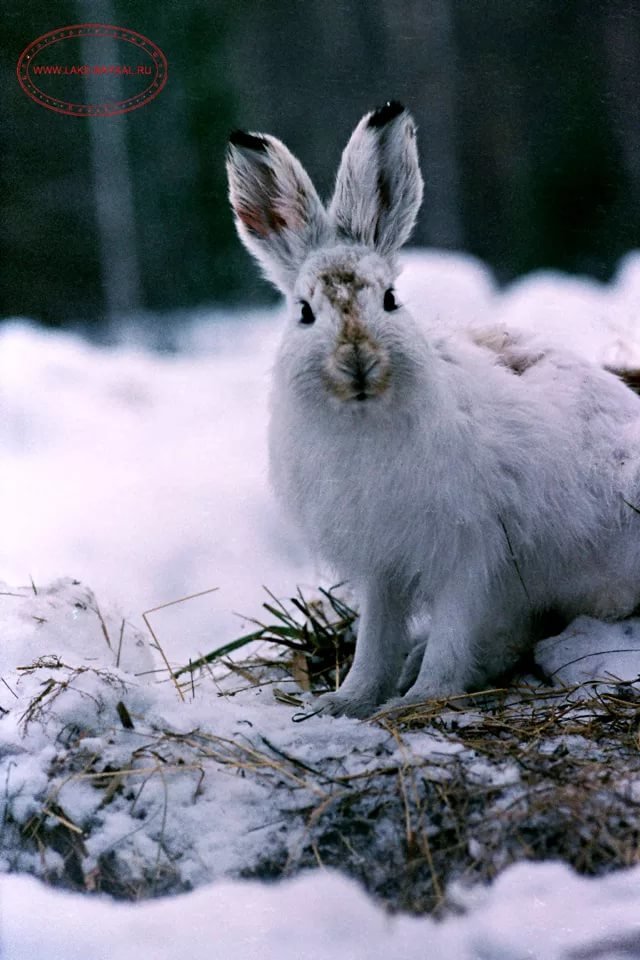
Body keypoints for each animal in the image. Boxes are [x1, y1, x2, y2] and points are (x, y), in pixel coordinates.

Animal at [226, 101, 640, 718]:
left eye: (391, 300)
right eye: (304, 312)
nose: (357, 360)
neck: (364, 422)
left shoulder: (470, 551)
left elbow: (452, 627)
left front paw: (419, 699)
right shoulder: (381, 565)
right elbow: (376, 637)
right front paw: (345, 702)